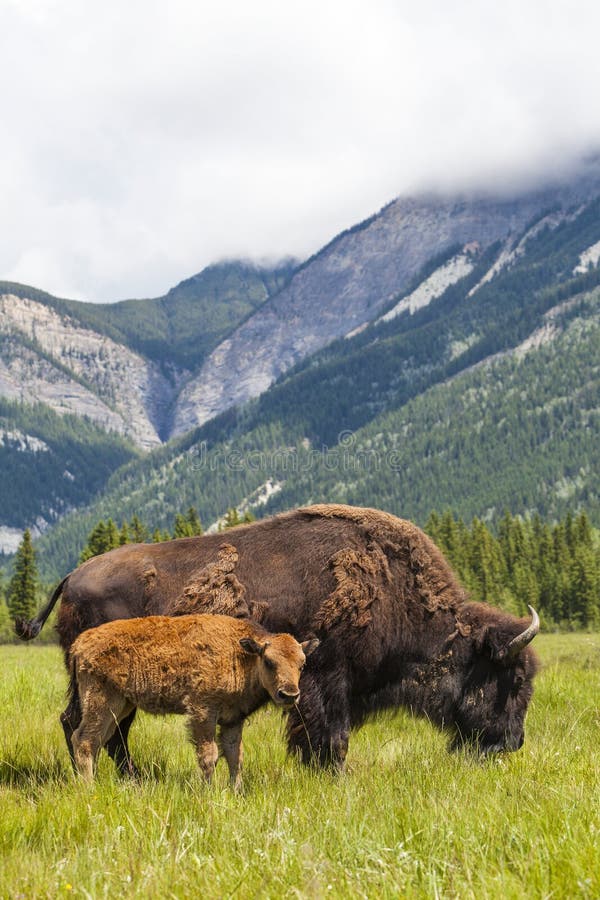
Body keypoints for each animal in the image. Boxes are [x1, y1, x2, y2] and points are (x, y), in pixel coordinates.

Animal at [16, 502, 540, 768]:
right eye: (512, 680)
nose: (513, 744)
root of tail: (72, 576)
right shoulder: (328, 681)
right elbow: (332, 737)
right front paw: (333, 776)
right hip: (102, 684)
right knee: (88, 727)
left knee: (101, 728)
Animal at [70, 612, 318, 788]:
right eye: (268, 661)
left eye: (302, 664)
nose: (289, 695)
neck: (240, 654)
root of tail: (80, 642)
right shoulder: (203, 712)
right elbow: (209, 755)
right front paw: (207, 791)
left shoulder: (232, 719)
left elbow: (235, 755)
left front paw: (236, 790)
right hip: (101, 702)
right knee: (84, 740)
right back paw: (88, 788)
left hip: (121, 705)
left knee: (97, 740)